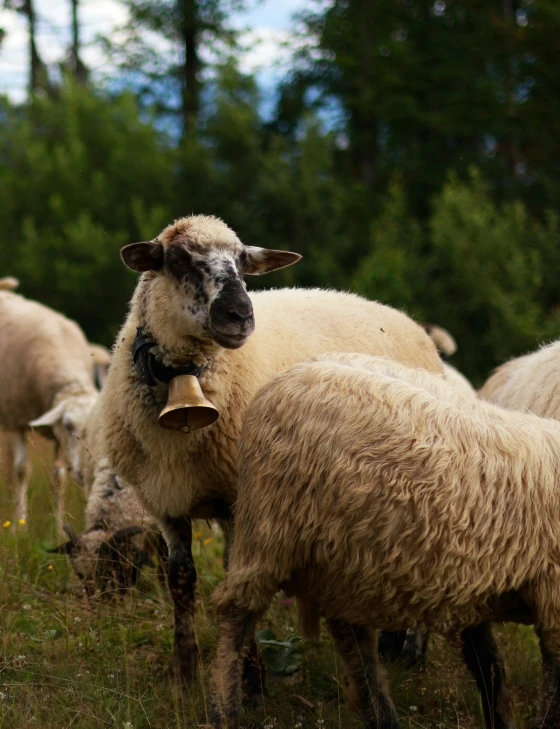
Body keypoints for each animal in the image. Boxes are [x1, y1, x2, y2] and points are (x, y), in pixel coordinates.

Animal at [0, 282, 98, 528]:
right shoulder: (15, 421)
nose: (84, 473)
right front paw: (20, 526)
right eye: (69, 426)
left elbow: (58, 478)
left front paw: (60, 530)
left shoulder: (57, 436)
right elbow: (22, 471)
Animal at [99, 212, 442, 684]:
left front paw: (250, 677)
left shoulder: (242, 497)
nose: (240, 315)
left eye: (243, 263)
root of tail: (404, 318)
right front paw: (183, 671)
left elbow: (235, 579)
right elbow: (181, 581)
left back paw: (412, 652)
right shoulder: (164, 501)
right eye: (178, 259)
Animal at [208, 352, 560, 728]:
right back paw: (224, 711)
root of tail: (285, 376)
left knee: (352, 637)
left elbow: (497, 666)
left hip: (339, 556)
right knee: (236, 615)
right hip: (269, 531)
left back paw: (382, 716)